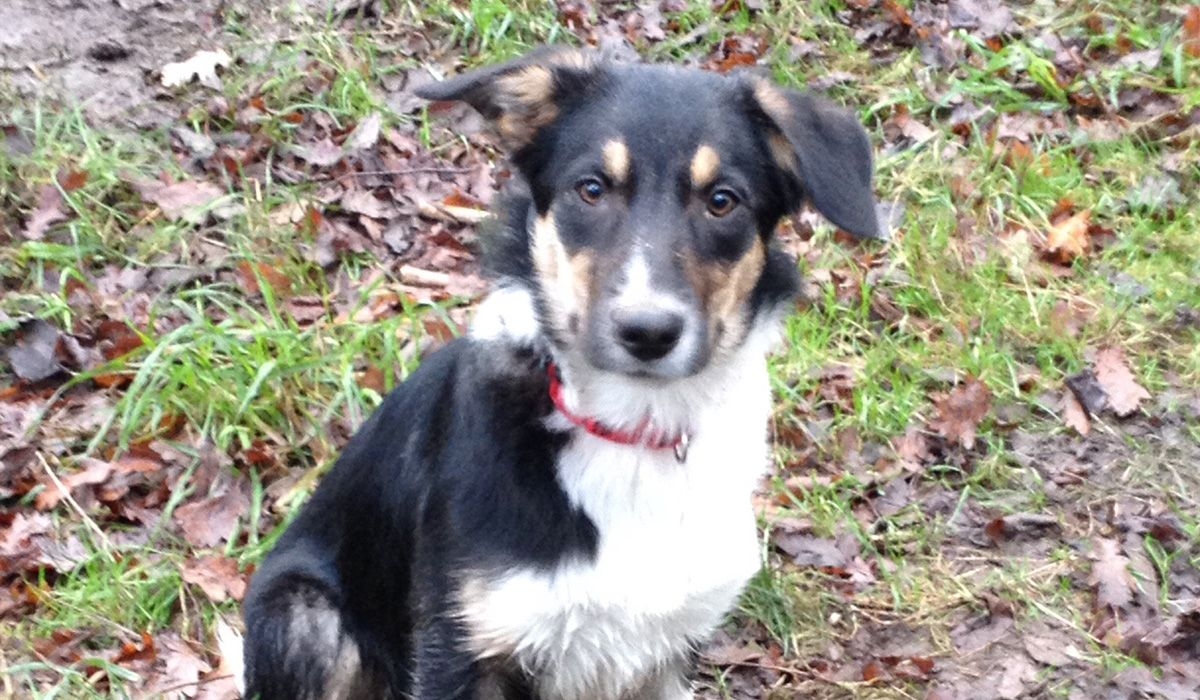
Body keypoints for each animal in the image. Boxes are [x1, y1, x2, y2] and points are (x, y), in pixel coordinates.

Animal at [243, 46, 883, 696]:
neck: (633, 428)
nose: (647, 332)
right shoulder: (459, 647)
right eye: (591, 189)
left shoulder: (669, 652)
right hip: (303, 612)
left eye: (723, 200)